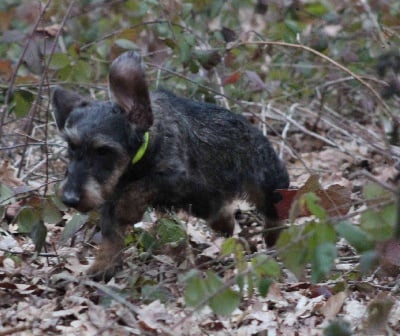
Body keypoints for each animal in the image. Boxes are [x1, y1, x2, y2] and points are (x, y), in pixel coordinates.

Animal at [52, 50, 290, 280]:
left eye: (103, 150)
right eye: (71, 146)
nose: (69, 199)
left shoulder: (178, 179)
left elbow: (140, 188)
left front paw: (128, 210)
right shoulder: (110, 194)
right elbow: (110, 230)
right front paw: (103, 265)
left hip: (268, 186)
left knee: (274, 214)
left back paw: (273, 239)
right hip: (209, 206)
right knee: (223, 217)